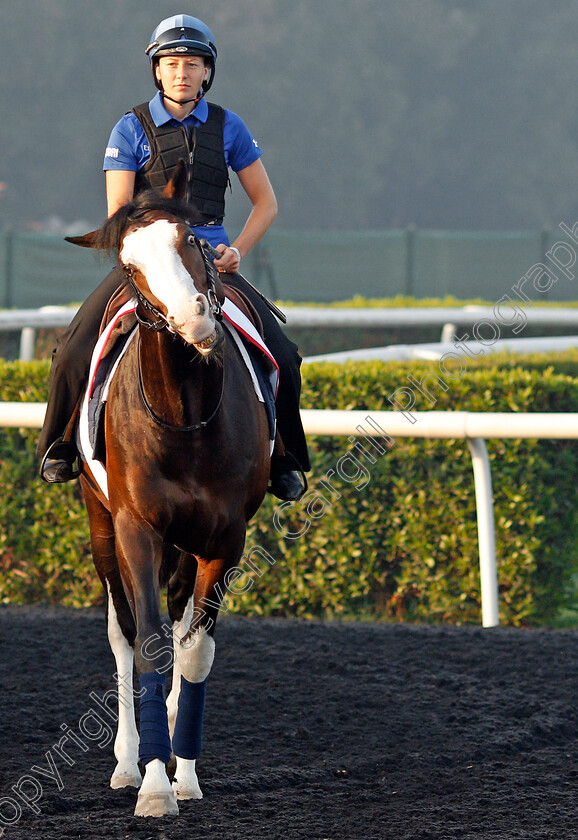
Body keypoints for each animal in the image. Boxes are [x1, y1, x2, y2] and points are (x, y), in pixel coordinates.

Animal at [66, 162, 274, 812]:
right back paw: (127, 762)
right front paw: (154, 784)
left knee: (180, 625)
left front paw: (184, 772)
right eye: (130, 266)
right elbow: (149, 642)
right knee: (125, 631)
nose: (194, 320)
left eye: (192, 240)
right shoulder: (136, 527)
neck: (185, 417)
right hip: (101, 524)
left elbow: (195, 648)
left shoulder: (224, 539)